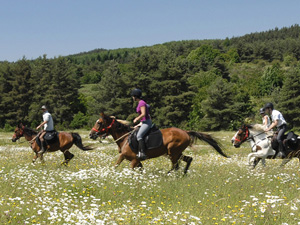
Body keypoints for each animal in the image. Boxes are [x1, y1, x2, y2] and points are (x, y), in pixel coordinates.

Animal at [89, 112, 230, 174]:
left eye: (99, 123)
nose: (91, 134)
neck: (125, 139)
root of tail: (185, 131)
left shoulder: (134, 160)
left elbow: (125, 168)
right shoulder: (130, 159)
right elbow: (117, 166)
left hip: (172, 152)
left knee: (175, 165)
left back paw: (169, 175)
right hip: (175, 153)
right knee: (188, 159)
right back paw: (182, 174)